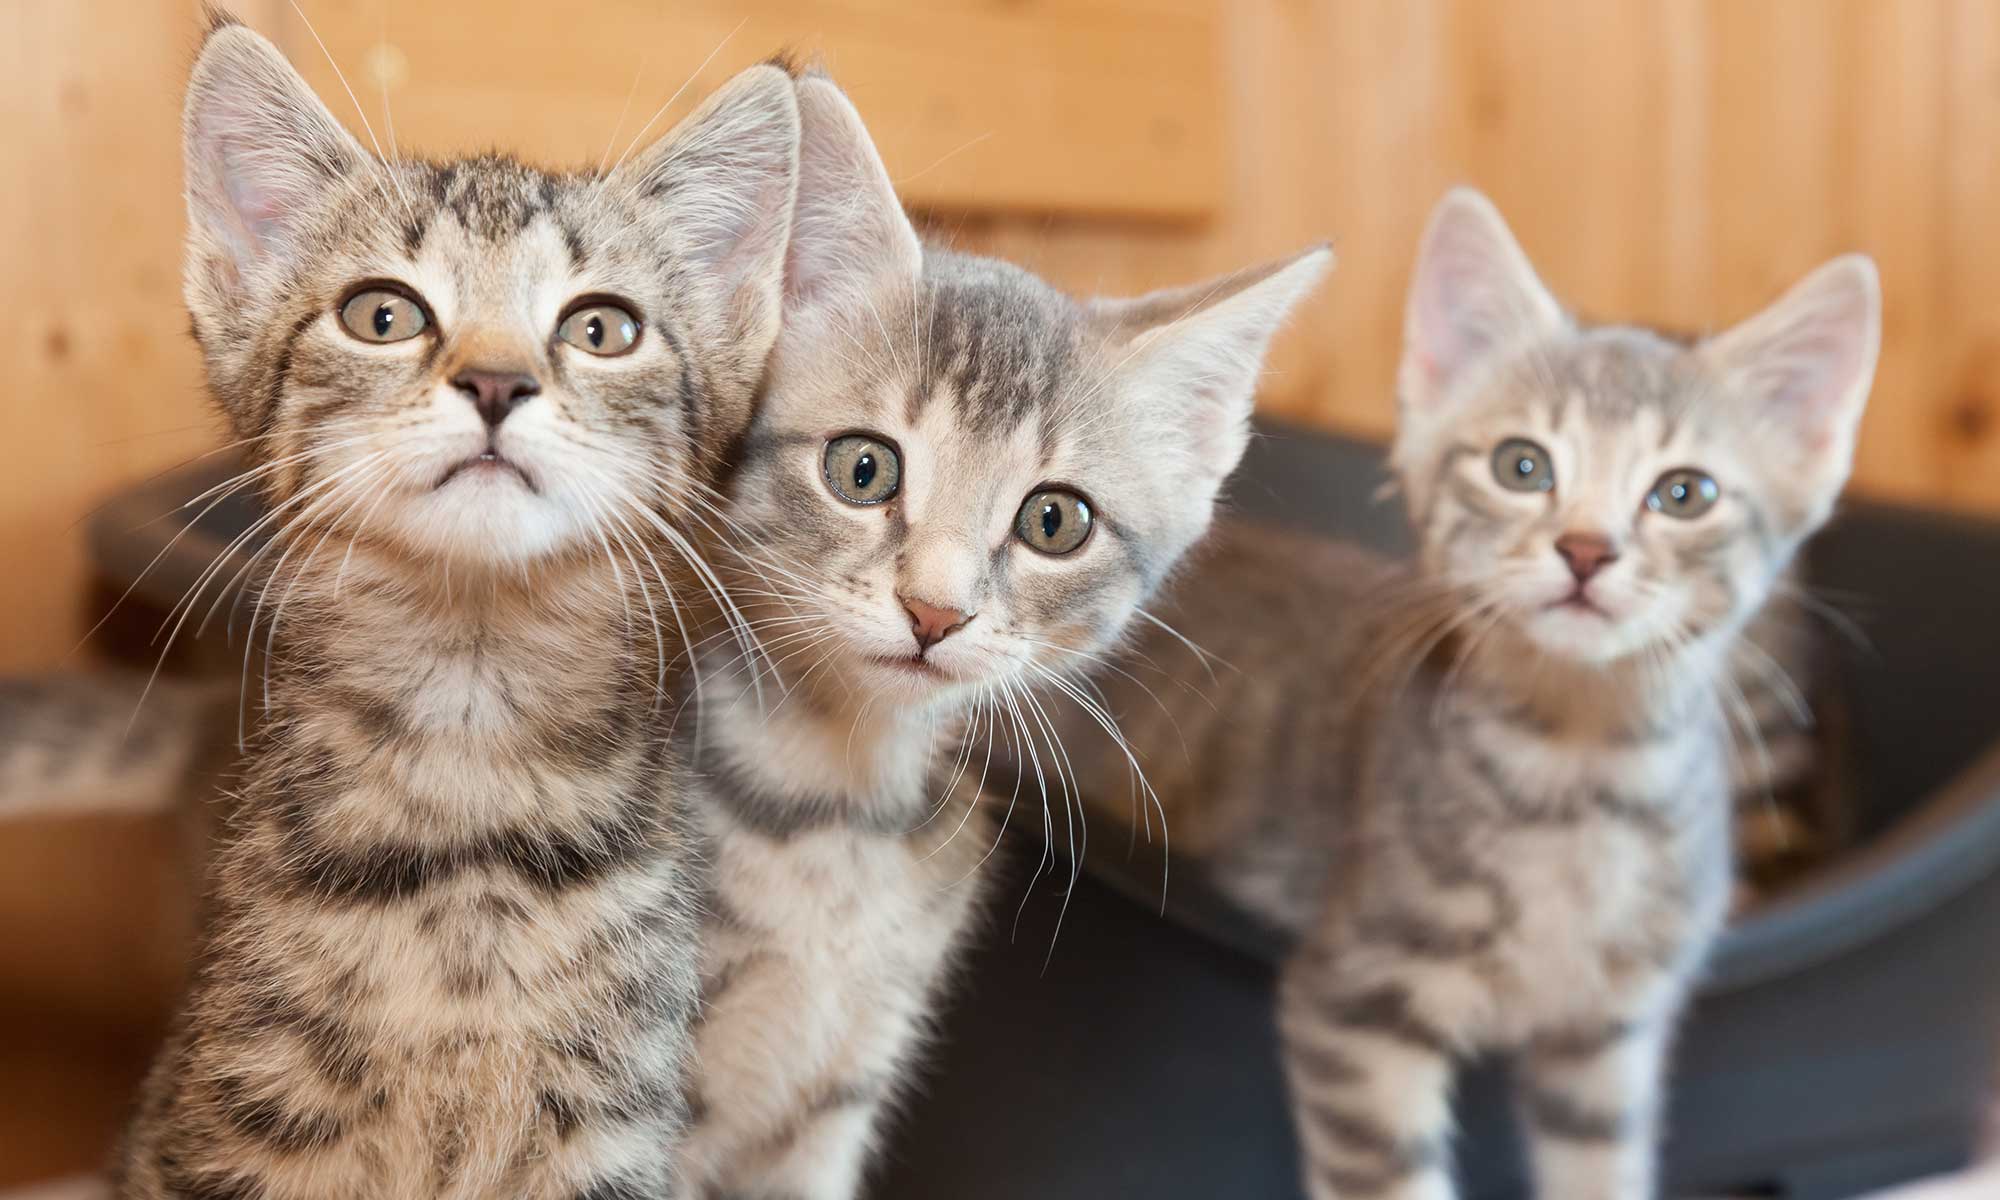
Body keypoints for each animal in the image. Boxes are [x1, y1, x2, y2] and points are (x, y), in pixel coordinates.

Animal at [1064, 188, 1872, 1200]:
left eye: (1685, 493)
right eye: (1523, 466)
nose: (1586, 548)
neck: (1581, 774)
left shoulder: (1604, 1041)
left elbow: (1601, 1167)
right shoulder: (1356, 1001)